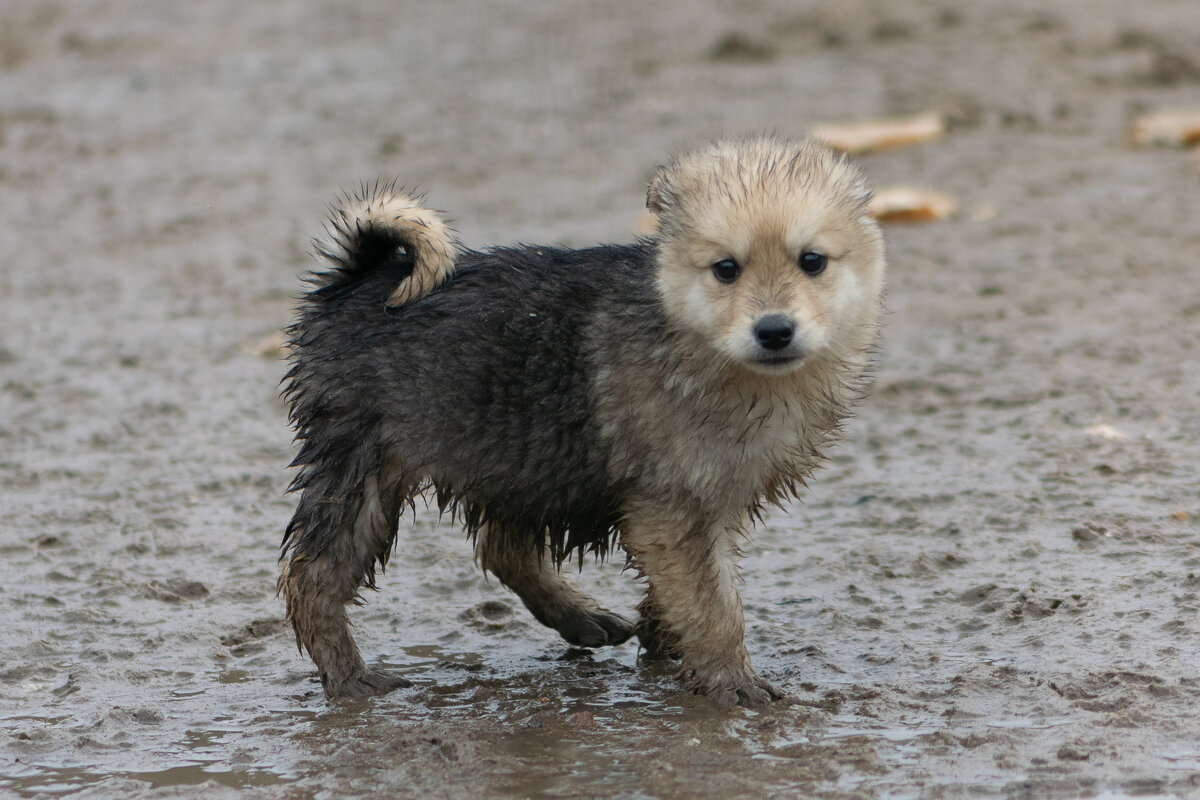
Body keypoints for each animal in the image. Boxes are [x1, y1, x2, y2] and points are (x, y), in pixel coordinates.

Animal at [278, 136, 883, 705]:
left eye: (812, 261)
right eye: (726, 270)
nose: (775, 330)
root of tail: (362, 278)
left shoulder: (714, 498)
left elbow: (690, 590)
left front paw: (662, 634)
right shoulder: (670, 506)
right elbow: (714, 607)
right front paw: (731, 680)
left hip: (519, 453)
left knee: (503, 548)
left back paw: (580, 617)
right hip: (367, 464)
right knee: (312, 573)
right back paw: (348, 675)